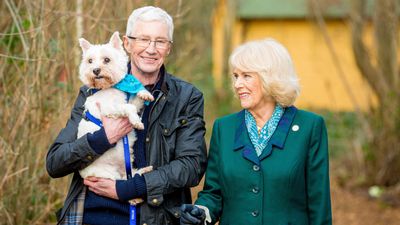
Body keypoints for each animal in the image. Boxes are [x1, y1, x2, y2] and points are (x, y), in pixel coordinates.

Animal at [77, 30, 153, 180]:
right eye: (90, 61)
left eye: (107, 60)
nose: (95, 70)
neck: (107, 87)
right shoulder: (109, 108)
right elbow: (129, 107)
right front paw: (136, 121)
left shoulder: (125, 100)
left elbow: (135, 101)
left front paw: (144, 93)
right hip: (108, 175)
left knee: (133, 175)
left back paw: (145, 169)